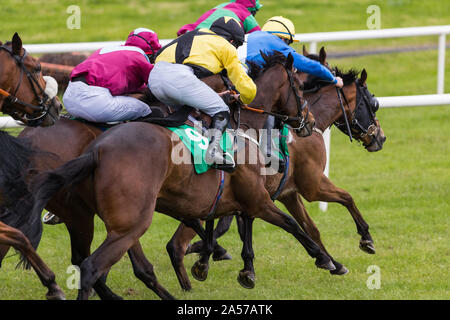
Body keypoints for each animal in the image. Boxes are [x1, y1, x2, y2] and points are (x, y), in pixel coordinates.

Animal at [28, 52, 336, 300]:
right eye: (299, 87)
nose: (308, 122)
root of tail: (96, 151)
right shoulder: (257, 199)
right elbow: (291, 224)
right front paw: (327, 259)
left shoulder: (210, 200)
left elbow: (216, 228)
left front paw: (217, 263)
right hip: (129, 223)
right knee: (93, 267)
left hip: (97, 219)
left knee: (95, 263)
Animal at [169, 48, 386, 290]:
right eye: (373, 103)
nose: (380, 137)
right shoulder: (312, 185)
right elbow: (346, 197)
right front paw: (365, 238)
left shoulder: (286, 193)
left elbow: (309, 227)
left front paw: (331, 261)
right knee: (177, 243)